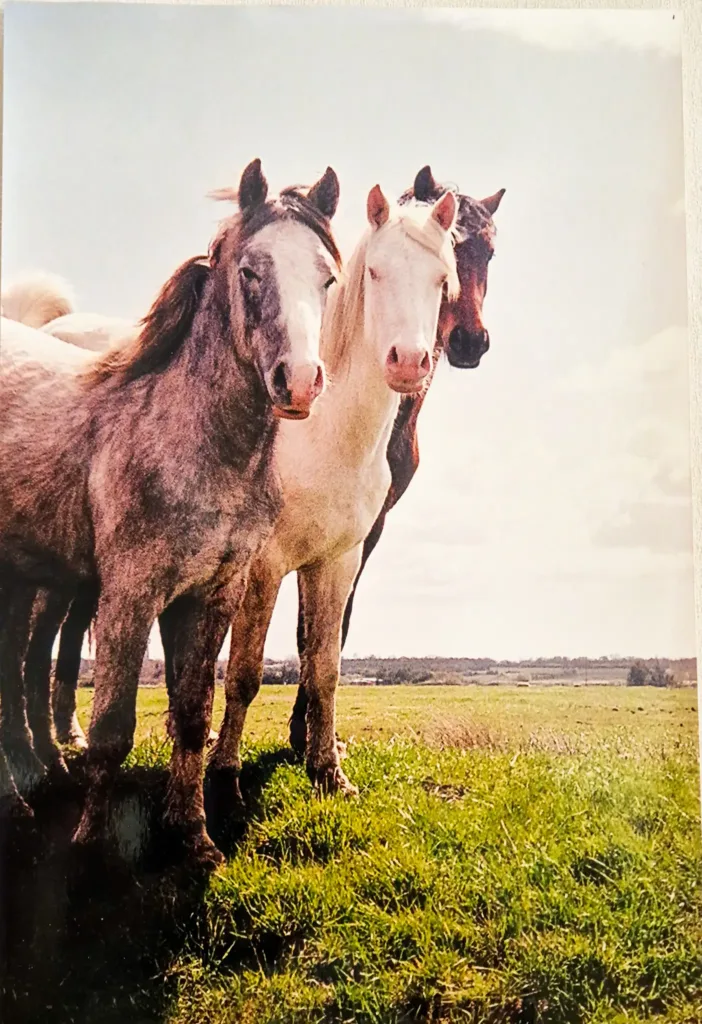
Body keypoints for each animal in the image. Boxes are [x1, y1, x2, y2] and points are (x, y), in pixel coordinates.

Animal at [0, 158, 341, 866]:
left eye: (327, 276)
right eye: (251, 271)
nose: (298, 382)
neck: (188, 436)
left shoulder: (212, 593)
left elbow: (191, 713)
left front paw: (192, 833)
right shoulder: (131, 593)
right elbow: (111, 727)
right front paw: (92, 846)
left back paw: (34, 774)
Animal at [203, 182, 460, 802]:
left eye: (441, 279)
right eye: (374, 271)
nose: (409, 362)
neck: (320, 437)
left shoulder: (339, 562)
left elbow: (324, 665)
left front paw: (327, 771)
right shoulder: (264, 566)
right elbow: (244, 672)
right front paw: (224, 778)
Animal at [288, 165, 505, 757]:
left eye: (490, 251)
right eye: (453, 249)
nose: (470, 341)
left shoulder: (366, 527)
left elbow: (332, 626)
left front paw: (311, 734)